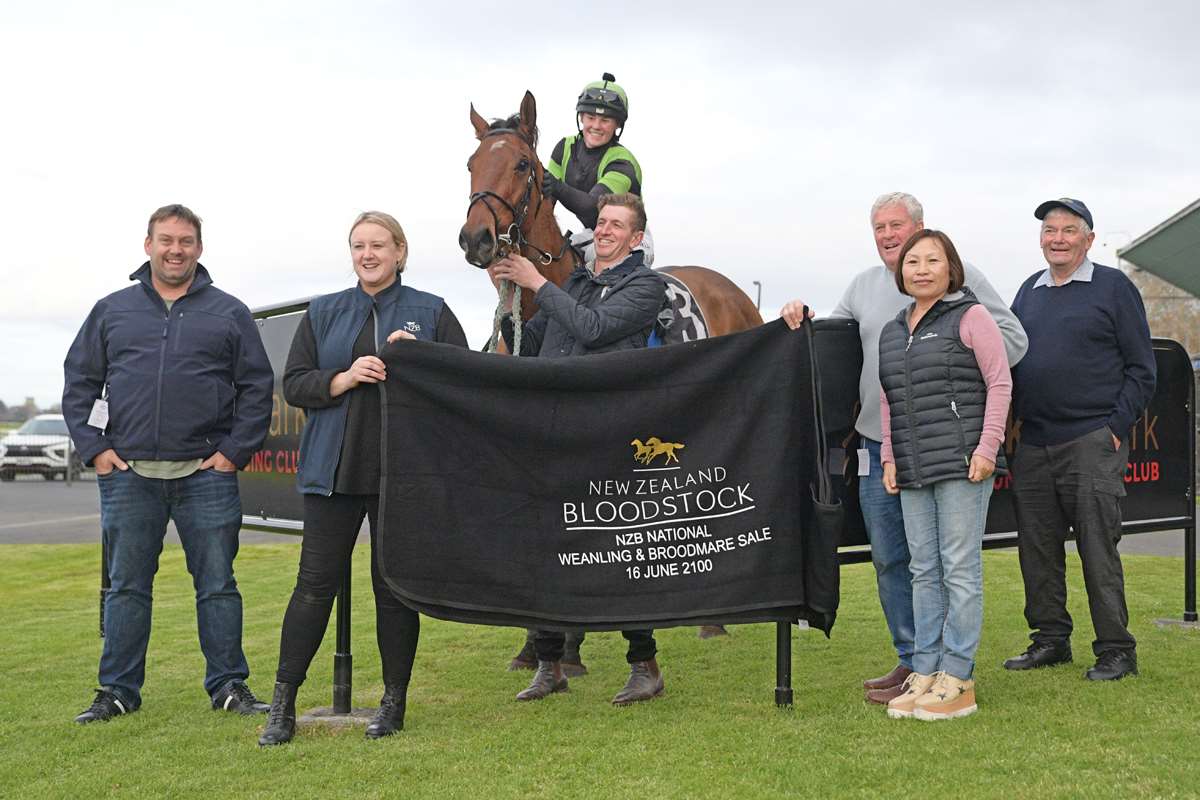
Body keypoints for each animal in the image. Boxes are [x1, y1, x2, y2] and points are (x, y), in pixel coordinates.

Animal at [456, 92, 748, 662]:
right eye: (471, 165)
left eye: (521, 165)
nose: (476, 239)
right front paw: (535, 645)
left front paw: (570, 643)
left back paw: (714, 618)